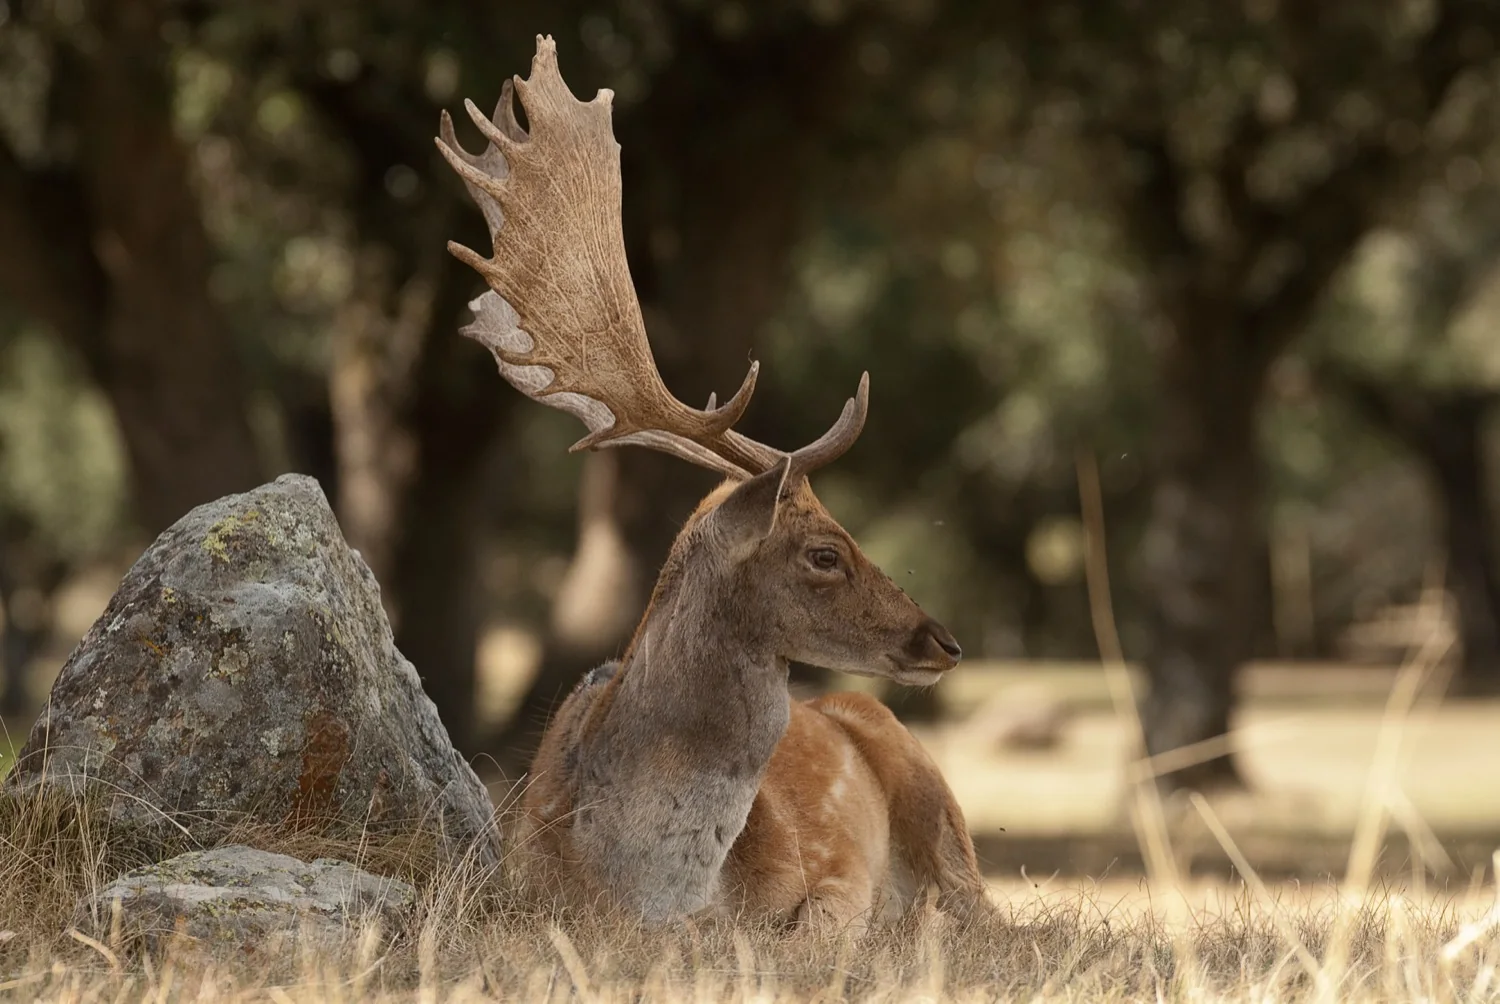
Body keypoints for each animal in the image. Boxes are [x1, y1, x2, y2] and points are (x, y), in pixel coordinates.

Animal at [435, 35, 989, 935]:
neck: (656, 893)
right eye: (825, 553)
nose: (943, 641)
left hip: (937, 798)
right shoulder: (520, 893)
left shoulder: (833, 877)